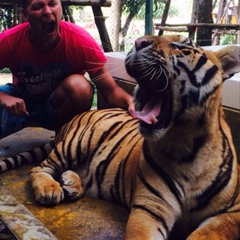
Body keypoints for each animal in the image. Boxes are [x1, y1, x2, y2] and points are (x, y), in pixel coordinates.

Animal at [2, 34, 240, 240]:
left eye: (181, 46)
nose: (139, 41)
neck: (185, 146)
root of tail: (77, 116)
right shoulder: (150, 207)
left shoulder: (231, 213)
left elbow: (204, 234)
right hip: (76, 143)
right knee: (39, 168)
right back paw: (50, 189)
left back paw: (71, 184)